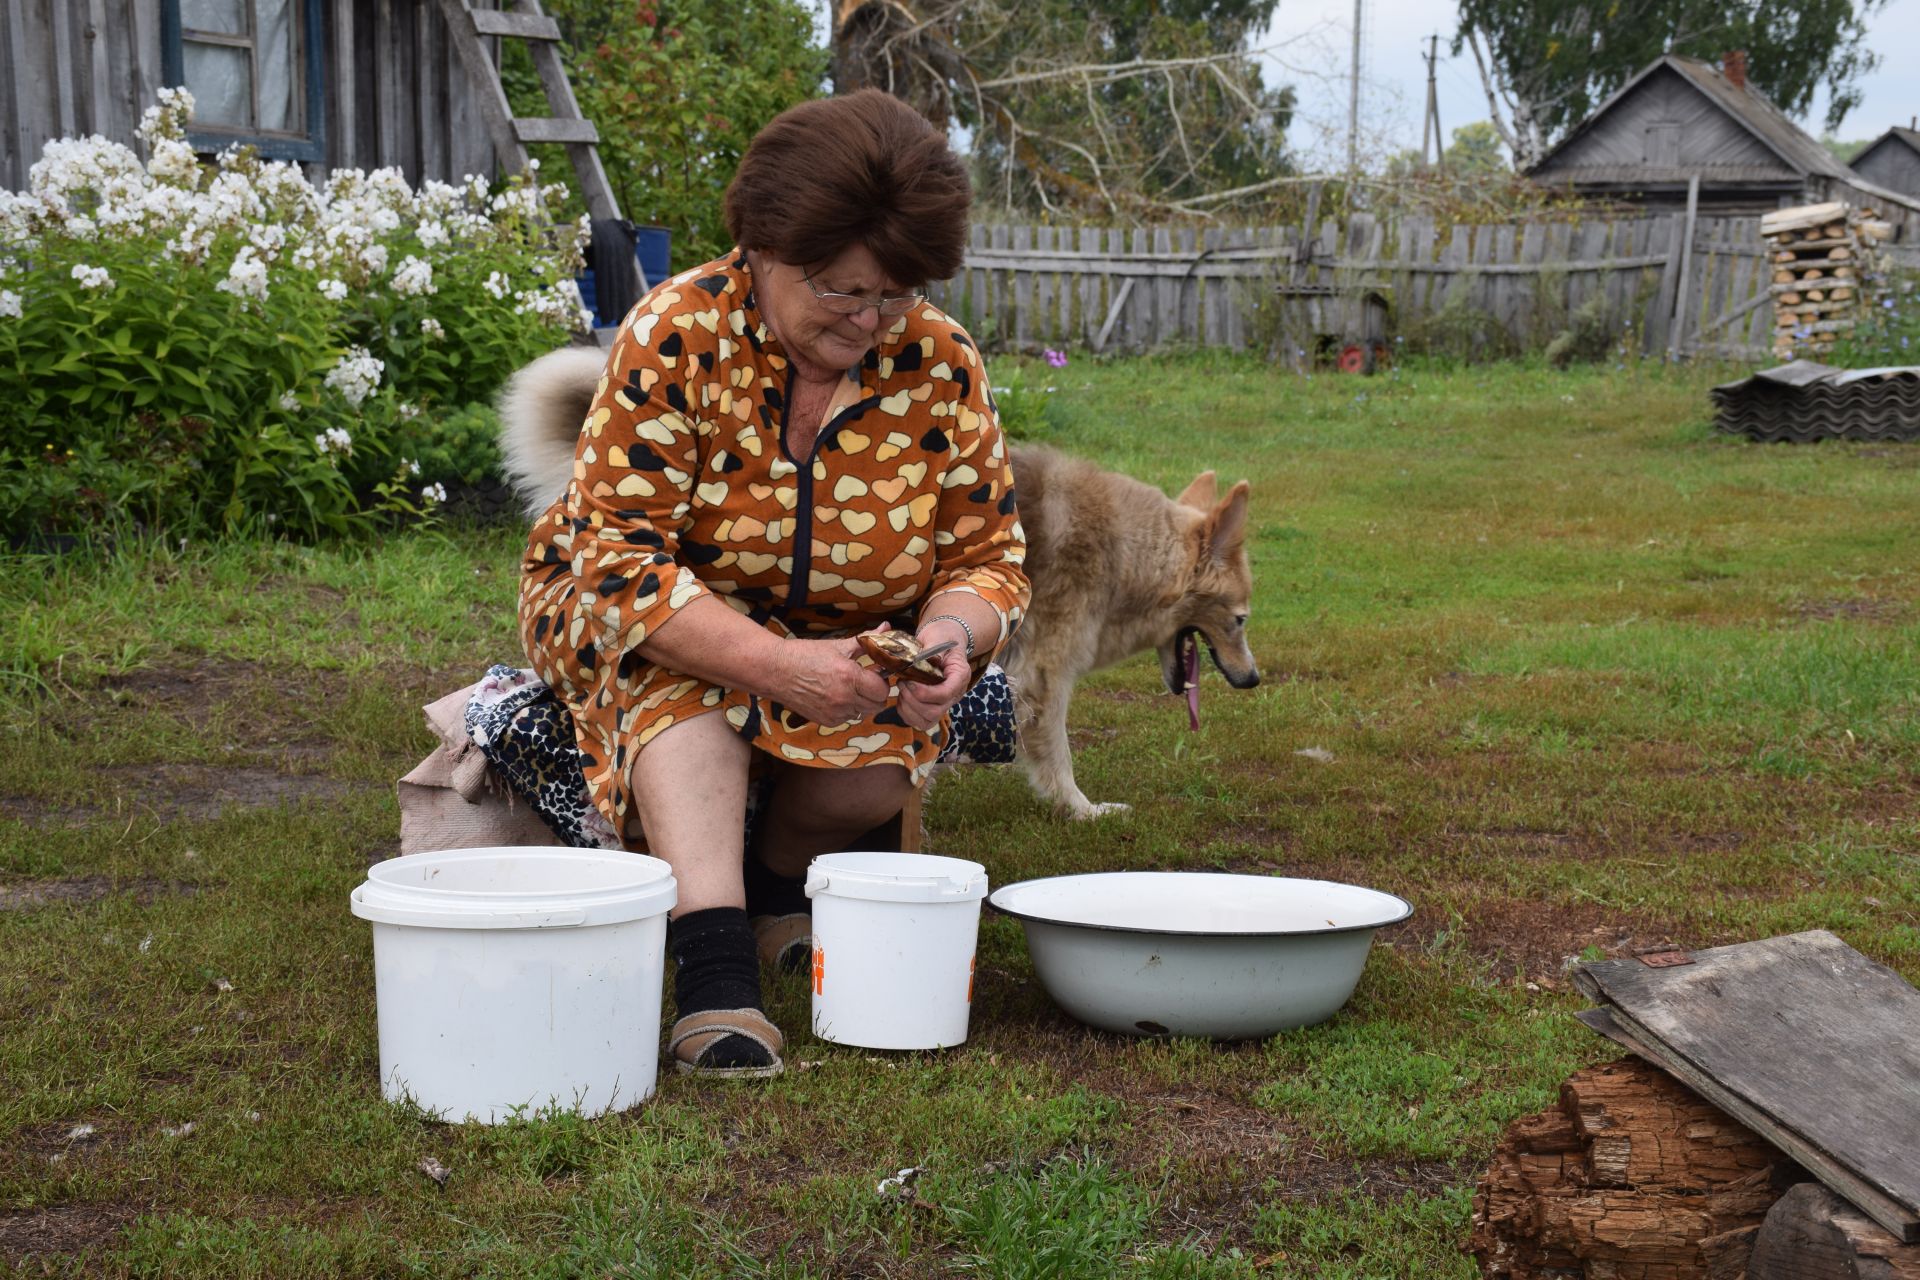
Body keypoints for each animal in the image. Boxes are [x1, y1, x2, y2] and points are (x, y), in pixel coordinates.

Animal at [499, 345, 1259, 817]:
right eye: (1242, 619)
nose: (1253, 680)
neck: (1130, 554)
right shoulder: (1044, 679)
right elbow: (1058, 760)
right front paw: (1083, 810)